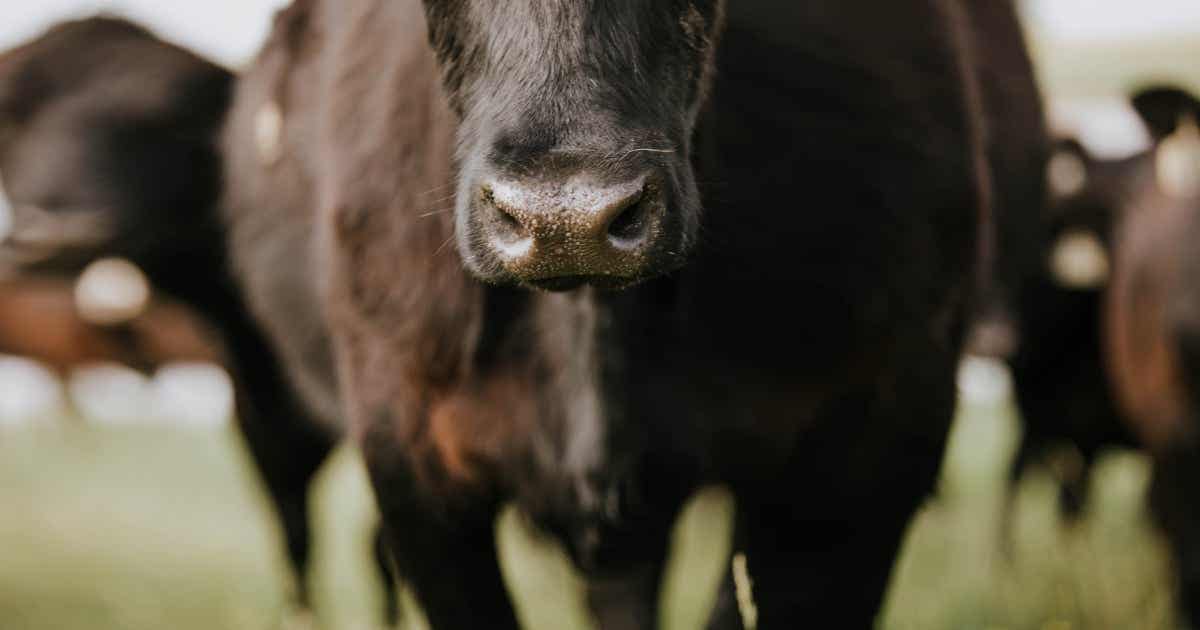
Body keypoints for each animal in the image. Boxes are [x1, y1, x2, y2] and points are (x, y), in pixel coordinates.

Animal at [0, 16, 400, 621]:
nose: (49, 232)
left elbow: (379, 548)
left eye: (163, 118)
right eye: (12, 121)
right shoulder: (260, 422)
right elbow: (296, 540)